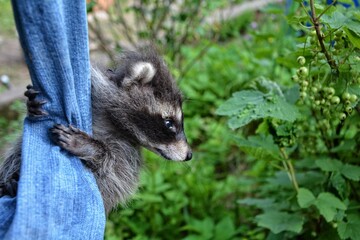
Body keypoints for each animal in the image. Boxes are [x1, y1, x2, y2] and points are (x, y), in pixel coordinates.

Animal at [0, 47, 191, 214]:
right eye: (169, 123)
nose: (189, 155)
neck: (113, 121)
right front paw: (30, 106)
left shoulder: (128, 154)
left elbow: (114, 172)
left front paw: (92, 148)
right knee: (15, 154)